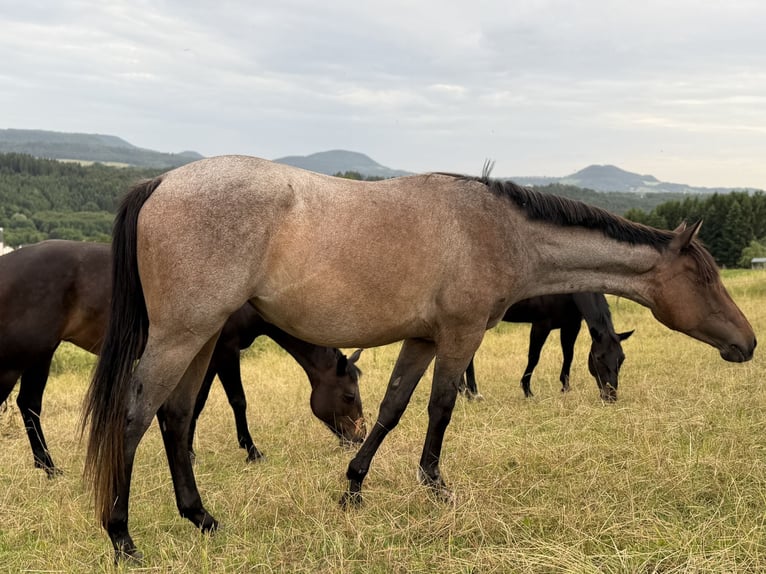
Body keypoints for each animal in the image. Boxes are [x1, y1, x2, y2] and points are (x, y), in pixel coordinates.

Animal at [0, 240, 365, 477]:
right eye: (349, 395)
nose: (358, 438)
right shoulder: (226, 351)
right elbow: (238, 400)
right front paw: (252, 451)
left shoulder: (206, 357)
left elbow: (196, 403)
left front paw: (187, 450)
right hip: (21, 358)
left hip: (41, 355)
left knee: (29, 404)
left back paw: (47, 467)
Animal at [460, 292, 634, 402]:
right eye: (598, 358)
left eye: (622, 358)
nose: (610, 396)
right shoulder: (541, 325)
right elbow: (534, 357)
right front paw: (527, 391)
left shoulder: (571, 325)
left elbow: (568, 355)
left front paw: (565, 387)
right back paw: (470, 393)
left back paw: (468, 391)